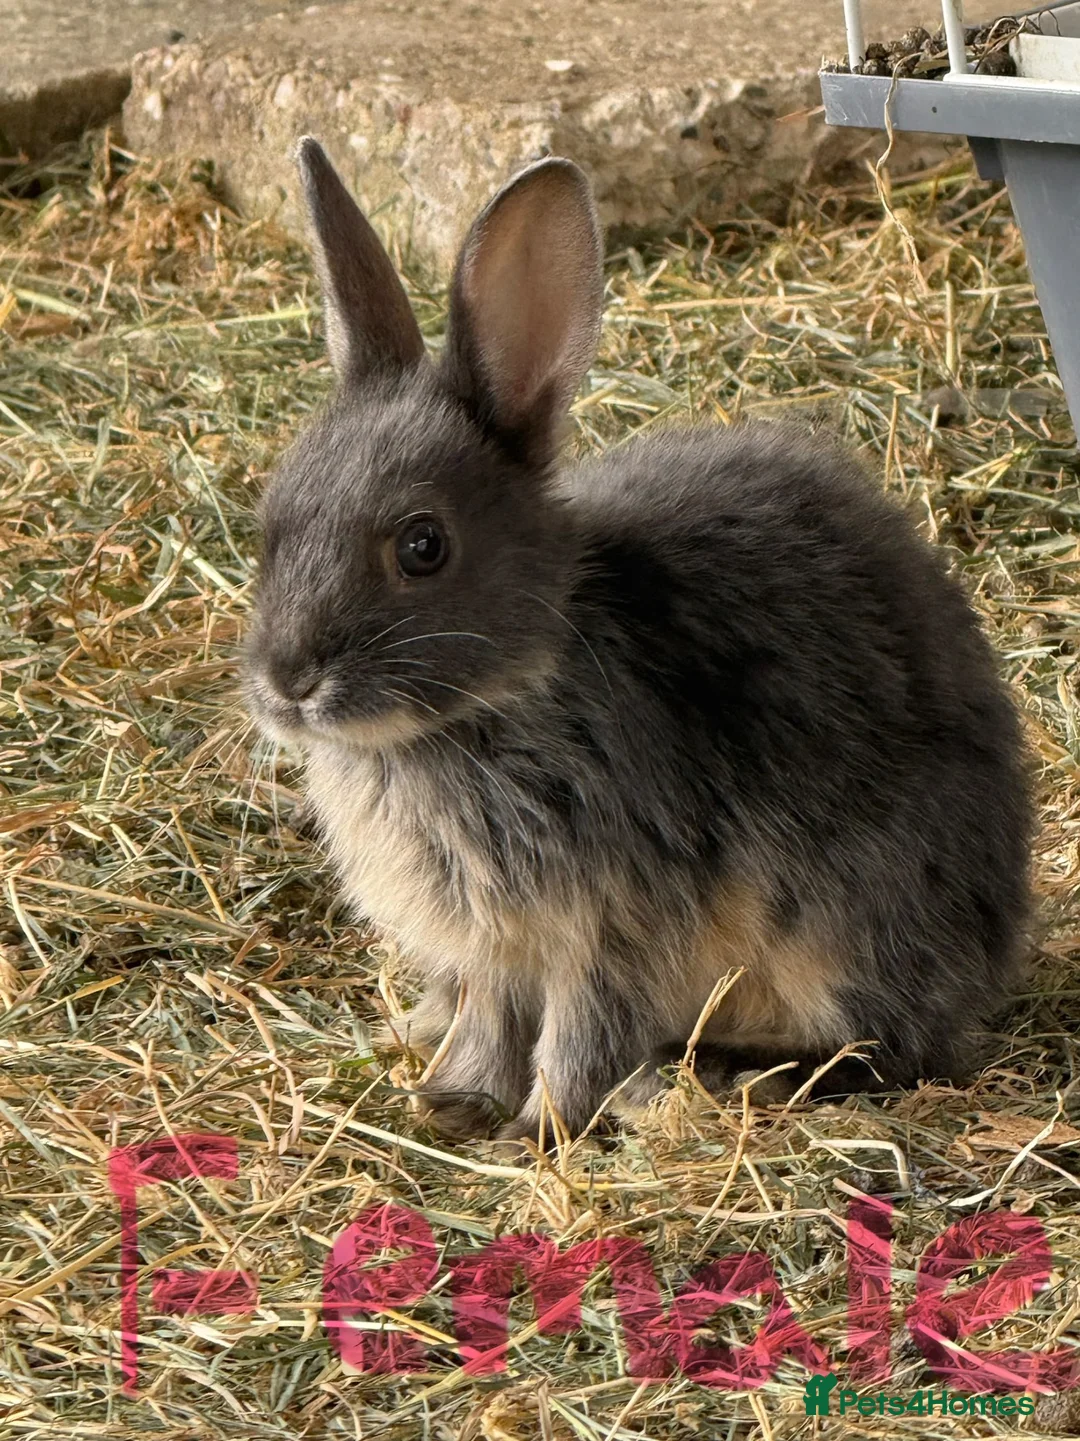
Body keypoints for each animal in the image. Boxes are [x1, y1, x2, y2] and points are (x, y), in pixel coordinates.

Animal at [243, 137, 1033, 1146]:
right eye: (271, 521)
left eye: (423, 546)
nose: (287, 681)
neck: (495, 700)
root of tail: (1000, 933)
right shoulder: (496, 952)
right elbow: (488, 1024)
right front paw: (452, 1105)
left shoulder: (611, 927)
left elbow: (581, 1036)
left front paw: (534, 1132)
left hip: (848, 922)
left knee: (886, 1047)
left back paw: (720, 1072)